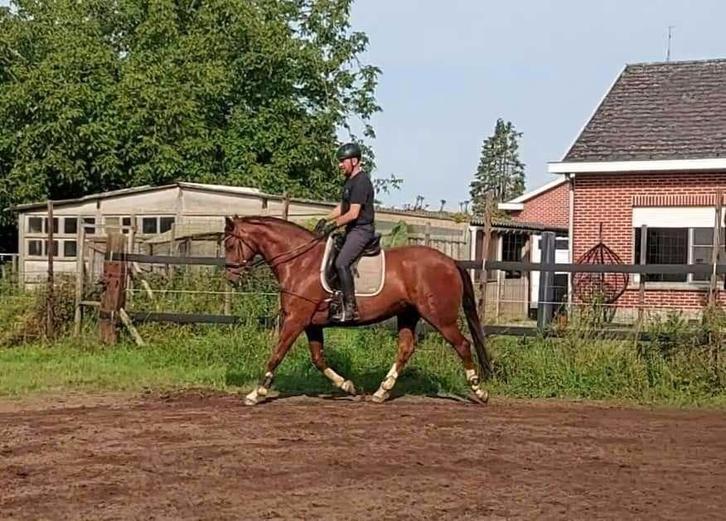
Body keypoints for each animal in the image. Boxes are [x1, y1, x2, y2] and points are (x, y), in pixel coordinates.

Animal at [223, 215, 492, 405]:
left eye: (230, 244)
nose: (231, 278)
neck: (300, 262)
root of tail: (451, 262)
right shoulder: (311, 323)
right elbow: (318, 358)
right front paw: (347, 386)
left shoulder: (295, 320)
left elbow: (277, 354)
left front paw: (256, 393)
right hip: (408, 314)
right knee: (405, 348)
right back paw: (381, 392)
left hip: (440, 317)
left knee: (462, 345)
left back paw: (479, 391)